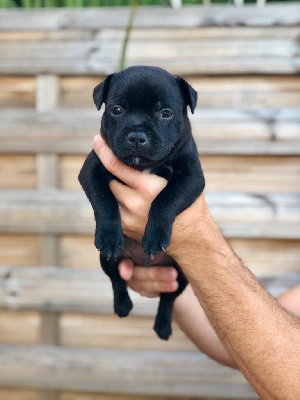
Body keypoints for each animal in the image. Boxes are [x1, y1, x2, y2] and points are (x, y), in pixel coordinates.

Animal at [77, 66, 205, 340]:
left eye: (165, 113)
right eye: (116, 110)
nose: (137, 136)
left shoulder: (190, 177)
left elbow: (165, 200)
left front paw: (155, 235)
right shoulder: (92, 169)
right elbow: (105, 201)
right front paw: (109, 235)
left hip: (180, 275)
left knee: (168, 299)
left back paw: (163, 325)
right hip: (107, 261)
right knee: (117, 281)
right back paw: (123, 305)